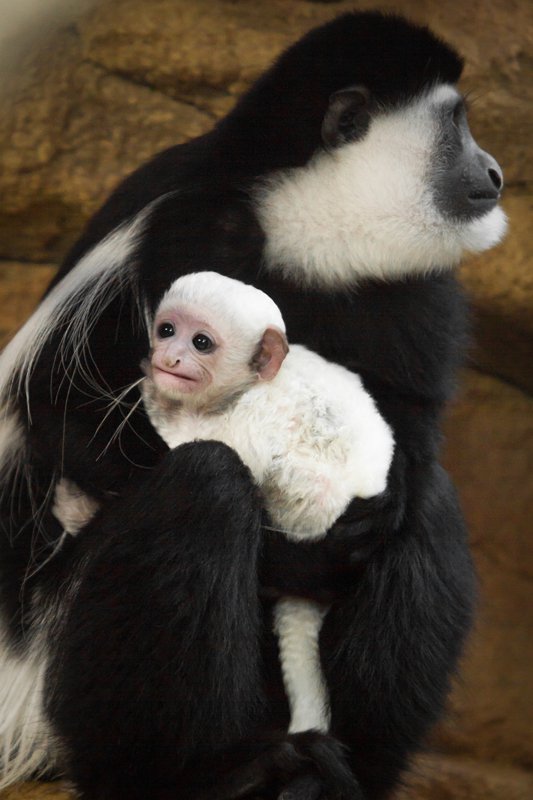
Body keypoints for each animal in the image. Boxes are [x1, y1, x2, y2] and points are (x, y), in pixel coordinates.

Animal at [0, 12, 505, 800]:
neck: (306, 228)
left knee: (427, 498)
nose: (495, 173)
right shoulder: (177, 230)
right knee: (203, 486)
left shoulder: (416, 291)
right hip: (51, 676)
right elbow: (69, 418)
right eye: (455, 126)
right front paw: (299, 557)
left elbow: (410, 438)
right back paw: (204, 774)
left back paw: (338, 771)